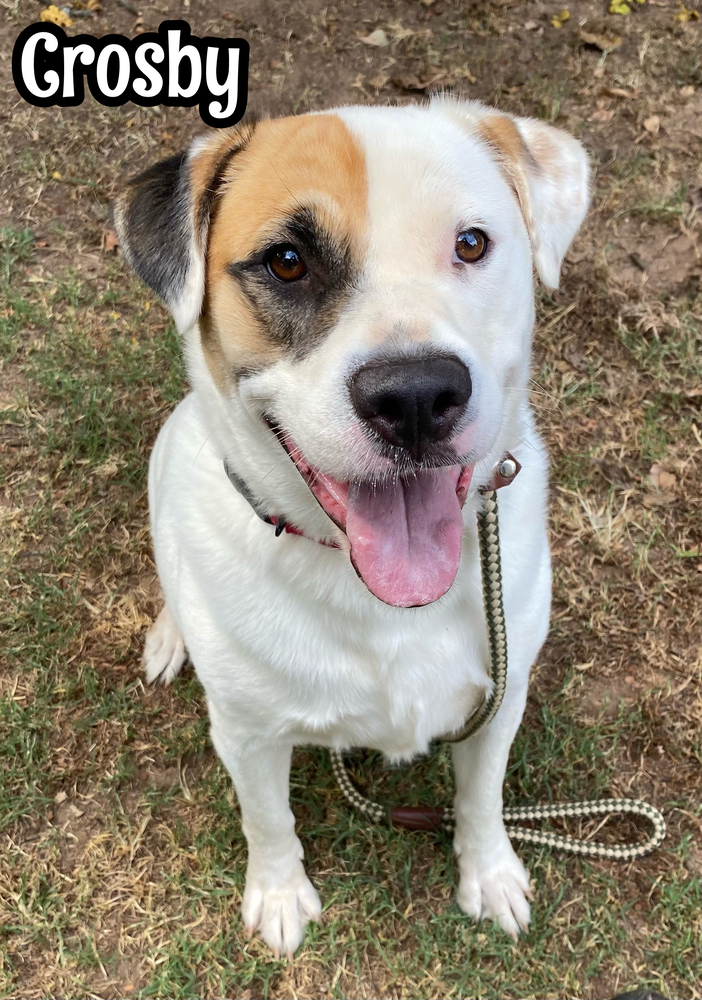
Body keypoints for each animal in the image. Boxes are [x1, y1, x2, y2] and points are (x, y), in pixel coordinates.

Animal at [114, 97, 588, 956]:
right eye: (287, 261)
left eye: (472, 243)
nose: (417, 396)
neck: (372, 594)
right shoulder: (247, 734)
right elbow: (268, 819)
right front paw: (279, 896)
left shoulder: (501, 694)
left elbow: (482, 797)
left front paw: (490, 874)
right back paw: (170, 638)